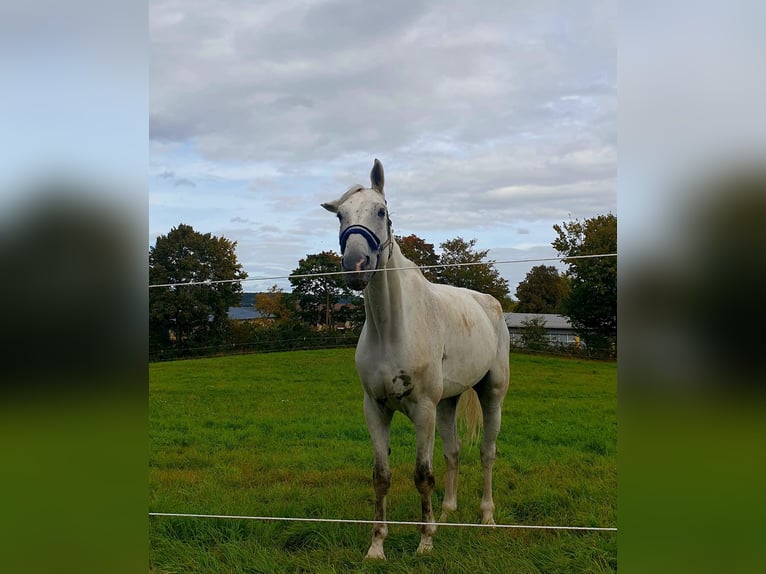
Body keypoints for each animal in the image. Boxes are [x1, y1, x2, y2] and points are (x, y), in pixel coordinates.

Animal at [322, 159, 510, 559]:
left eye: (381, 211)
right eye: (341, 215)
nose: (356, 266)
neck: (393, 328)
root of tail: (490, 303)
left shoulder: (423, 410)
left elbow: (422, 475)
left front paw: (425, 541)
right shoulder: (375, 409)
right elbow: (382, 476)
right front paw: (377, 546)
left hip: (491, 394)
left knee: (487, 453)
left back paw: (486, 517)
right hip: (449, 402)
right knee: (454, 452)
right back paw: (448, 511)